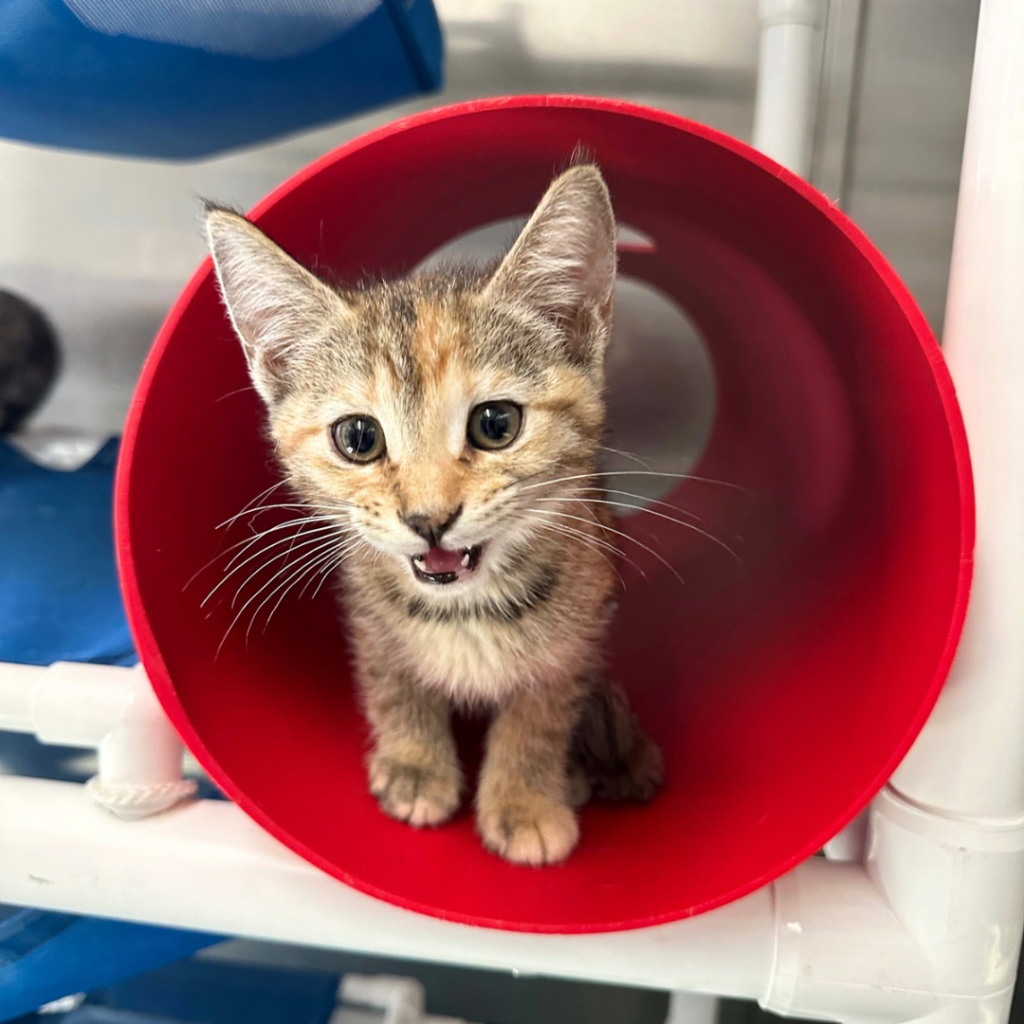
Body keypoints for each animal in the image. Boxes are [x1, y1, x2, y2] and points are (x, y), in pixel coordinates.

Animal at [205, 165, 663, 864]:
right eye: (358, 438)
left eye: (496, 423)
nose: (429, 519)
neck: (466, 610)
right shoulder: (367, 611)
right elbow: (392, 678)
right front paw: (416, 766)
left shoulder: (580, 625)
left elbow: (541, 711)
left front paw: (525, 799)